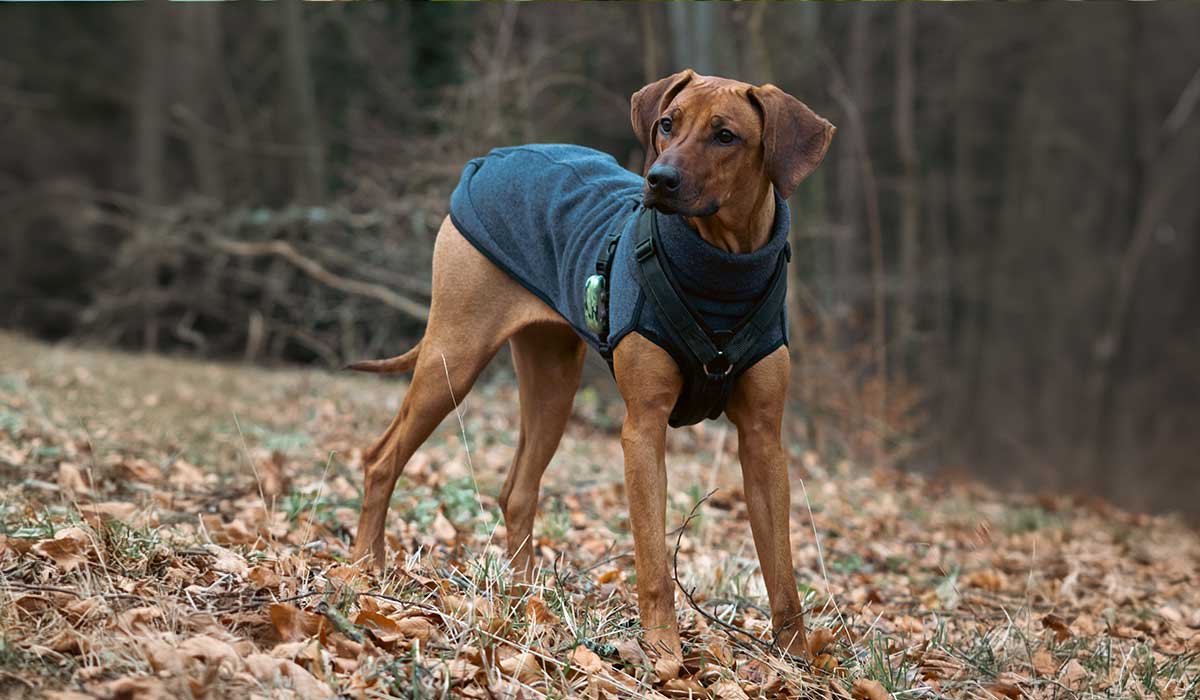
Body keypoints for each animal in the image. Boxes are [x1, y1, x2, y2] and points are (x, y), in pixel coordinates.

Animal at [348, 68, 835, 657]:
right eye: (667, 124)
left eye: (726, 136)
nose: (660, 179)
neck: (722, 268)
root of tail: (490, 158)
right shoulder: (644, 427)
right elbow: (652, 558)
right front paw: (664, 654)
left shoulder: (763, 440)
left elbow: (782, 571)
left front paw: (797, 658)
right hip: (454, 355)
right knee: (381, 459)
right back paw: (365, 570)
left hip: (553, 380)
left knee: (517, 490)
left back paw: (523, 600)